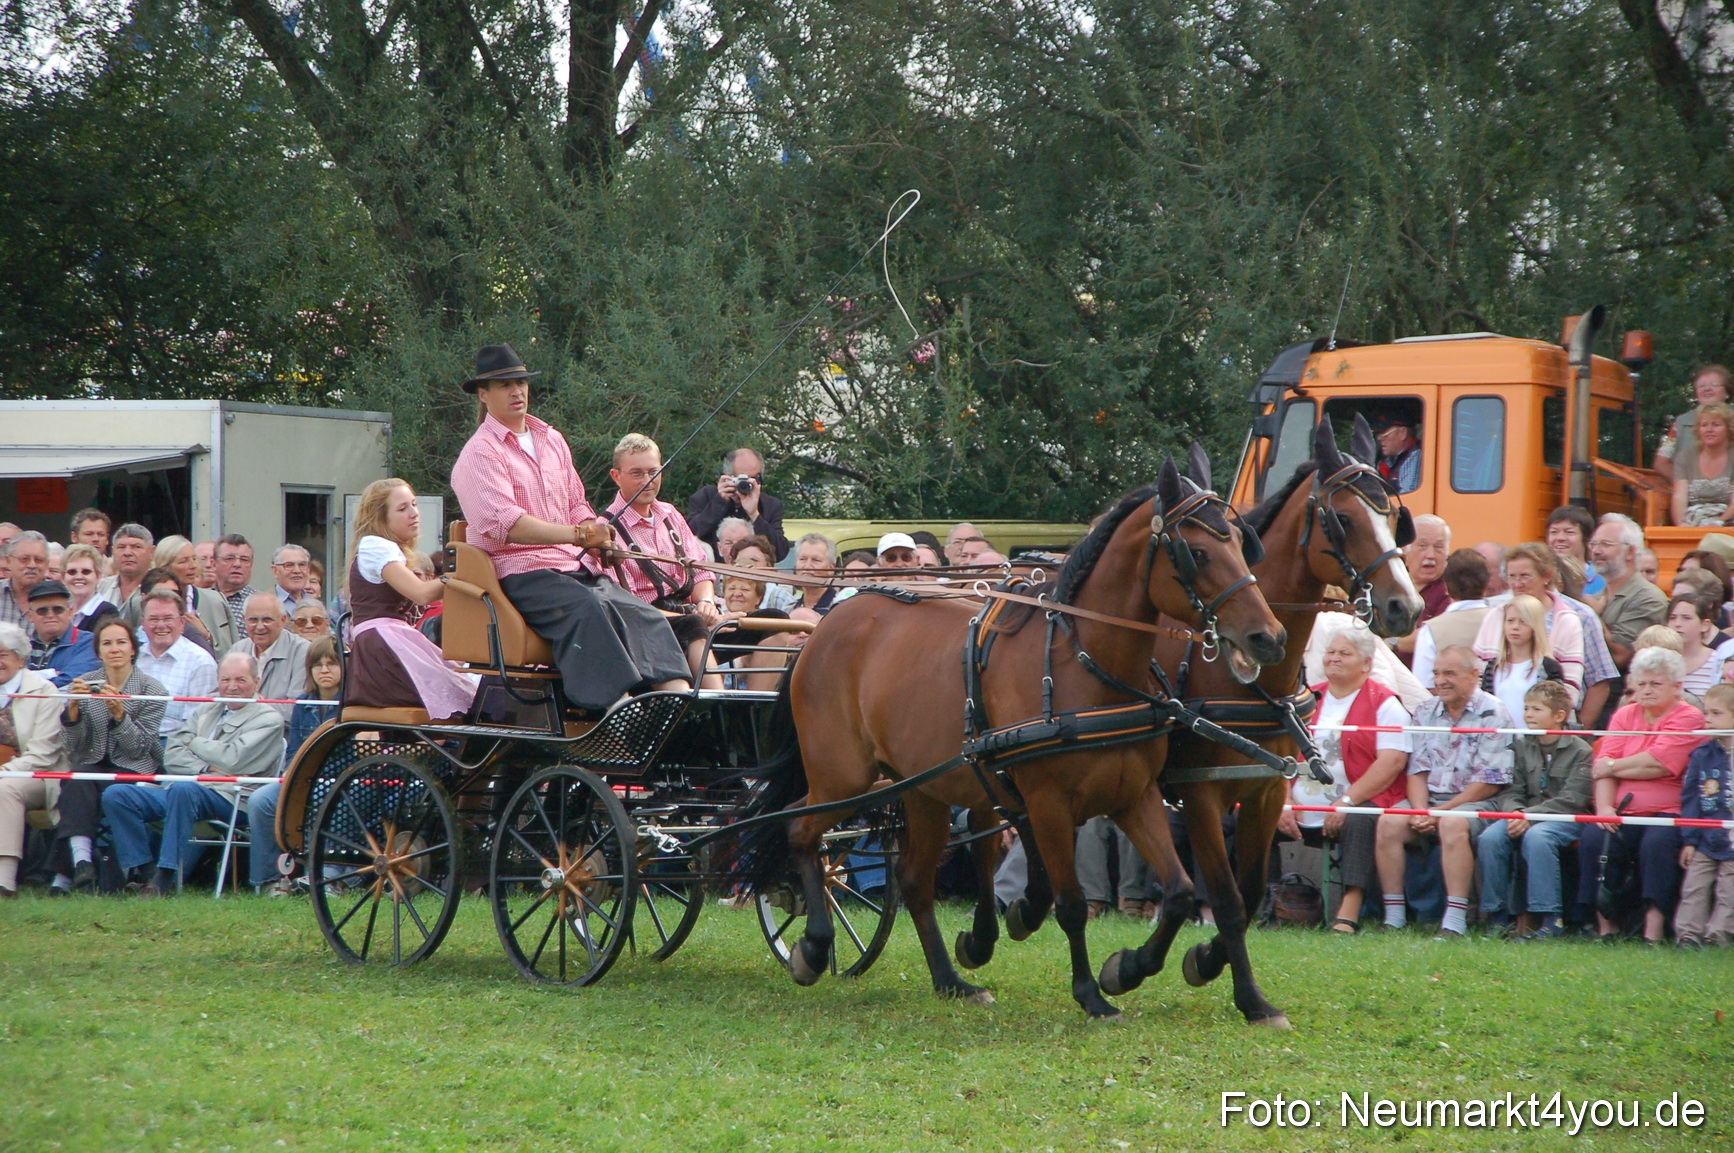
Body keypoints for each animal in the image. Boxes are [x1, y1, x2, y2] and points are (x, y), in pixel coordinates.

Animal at [735, 454, 1286, 1018]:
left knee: (911, 879)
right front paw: (1091, 993)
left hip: (923, 788)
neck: (1085, 667)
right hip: (844, 777)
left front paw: (1126, 969)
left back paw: (950, 979)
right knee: (800, 831)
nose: (1268, 637)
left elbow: (1177, 892)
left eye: (1240, 544)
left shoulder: (1134, 795)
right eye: (1197, 552)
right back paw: (814, 947)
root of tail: (822, 629)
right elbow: (1071, 905)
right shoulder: (1048, 803)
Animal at [1095, 414, 1424, 1027]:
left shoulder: (1267, 790)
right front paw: (1244, 995)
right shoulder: (1200, 792)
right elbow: (1224, 896)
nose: (1405, 607)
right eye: (1344, 518)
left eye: (1393, 517)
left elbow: (1248, 893)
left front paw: (1205, 960)